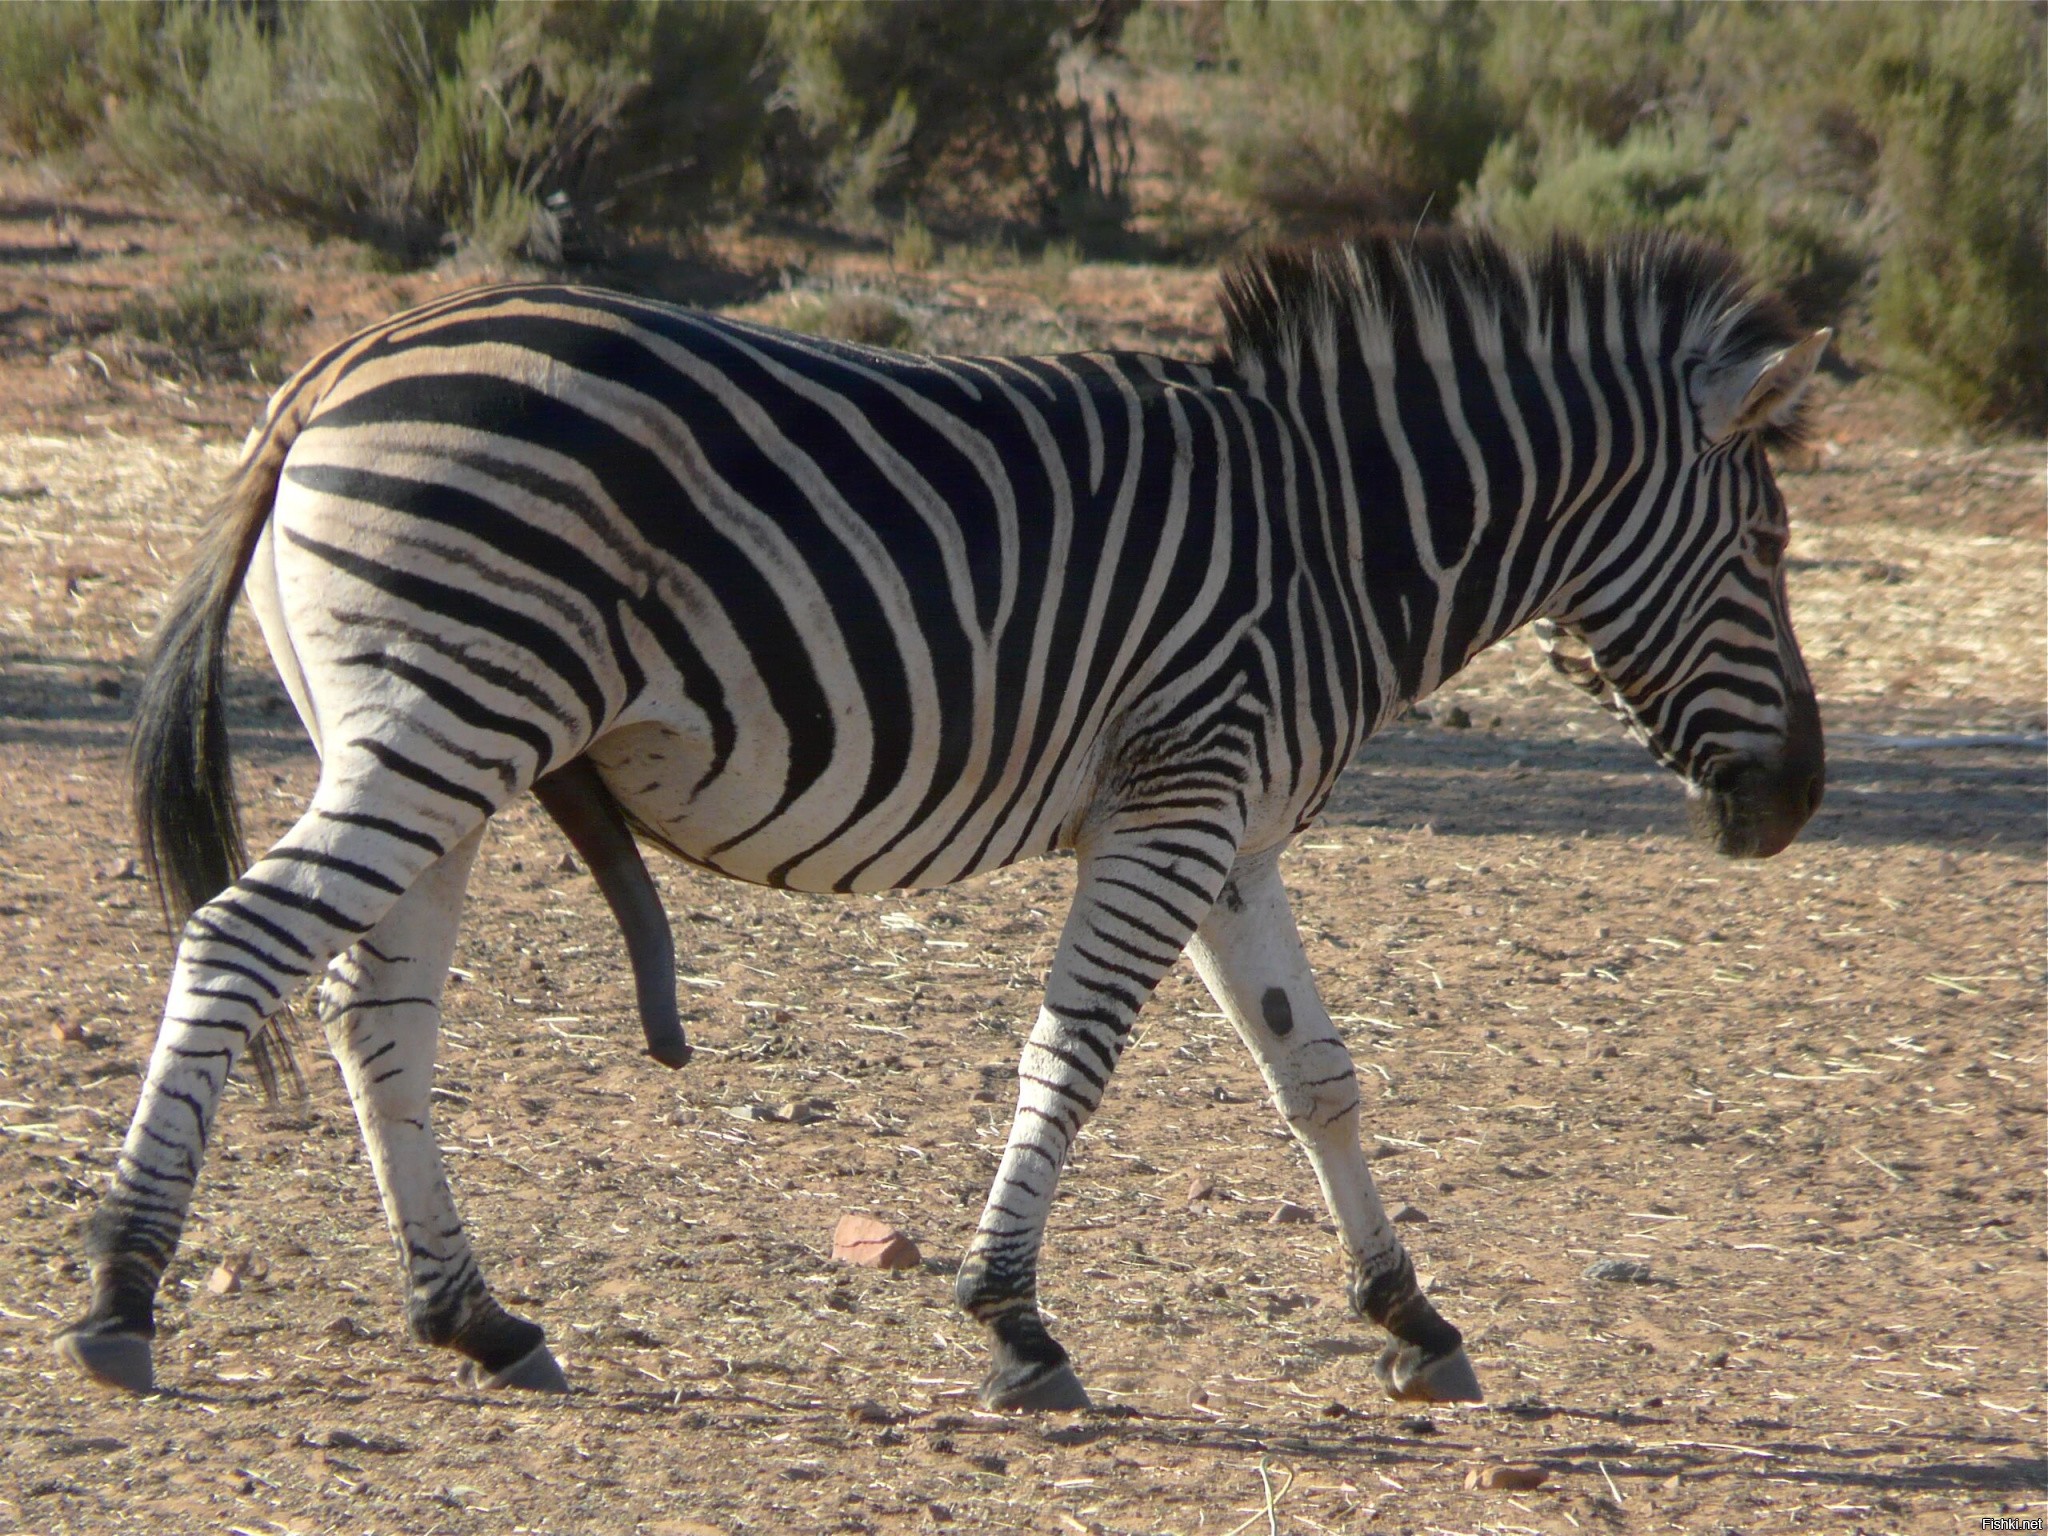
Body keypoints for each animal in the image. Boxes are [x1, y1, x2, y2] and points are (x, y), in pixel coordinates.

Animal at [59, 225, 1826, 1409]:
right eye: (1767, 550)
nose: (1797, 804)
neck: (1339, 532)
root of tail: (334, 366)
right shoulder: (1176, 804)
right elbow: (1076, 1054)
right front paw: (1015, 1321)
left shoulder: (1233, 828)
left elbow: (1316, 1075)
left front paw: (1410, 1318)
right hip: (447, 720)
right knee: (237, 942)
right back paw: (125, 1299)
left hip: (435, 746)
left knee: (377, 1013)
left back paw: (475, 1318)